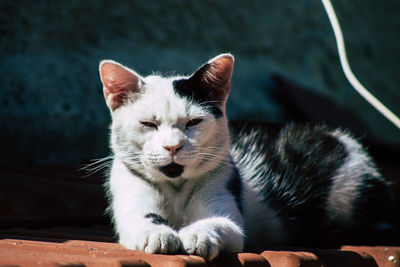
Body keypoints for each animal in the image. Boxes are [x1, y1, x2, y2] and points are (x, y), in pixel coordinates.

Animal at [98, 53, 396, 260]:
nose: (173, 147)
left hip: (351, 190)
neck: (176, 188)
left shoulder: (225, 194)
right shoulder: (130, 194)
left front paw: (199, 234)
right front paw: (157, 233)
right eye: (148, 124)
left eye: (193, 122)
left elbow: (219, 224)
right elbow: (141, 218)